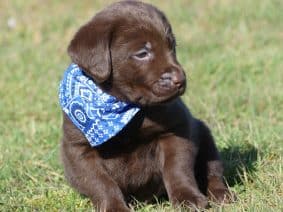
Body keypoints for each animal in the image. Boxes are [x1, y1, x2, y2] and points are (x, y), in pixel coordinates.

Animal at [58, 1, 232, 210]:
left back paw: (221, 194)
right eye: (142, 53)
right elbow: (101, 183)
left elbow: (177, 169)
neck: (124, 108)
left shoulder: (178, 129)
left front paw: (187, 198)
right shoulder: (78, 150)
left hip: (204, 134)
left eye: (172, 46)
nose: (180, 79)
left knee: (213, 171)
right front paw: (114, 207)